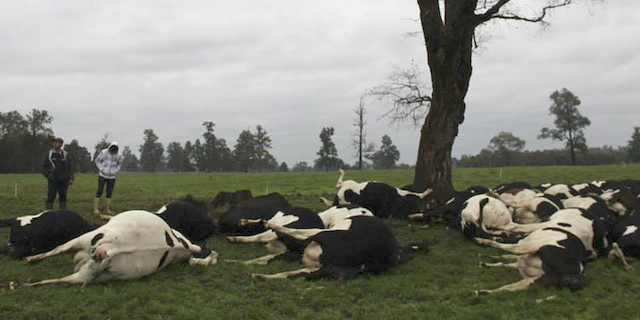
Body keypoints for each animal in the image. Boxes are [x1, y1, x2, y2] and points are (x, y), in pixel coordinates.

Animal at [13, 210, 219, 288]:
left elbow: (56, 249)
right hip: (95, 274)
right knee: (65, 279)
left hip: (85, 241)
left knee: (59, 258)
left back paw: (20, 279)